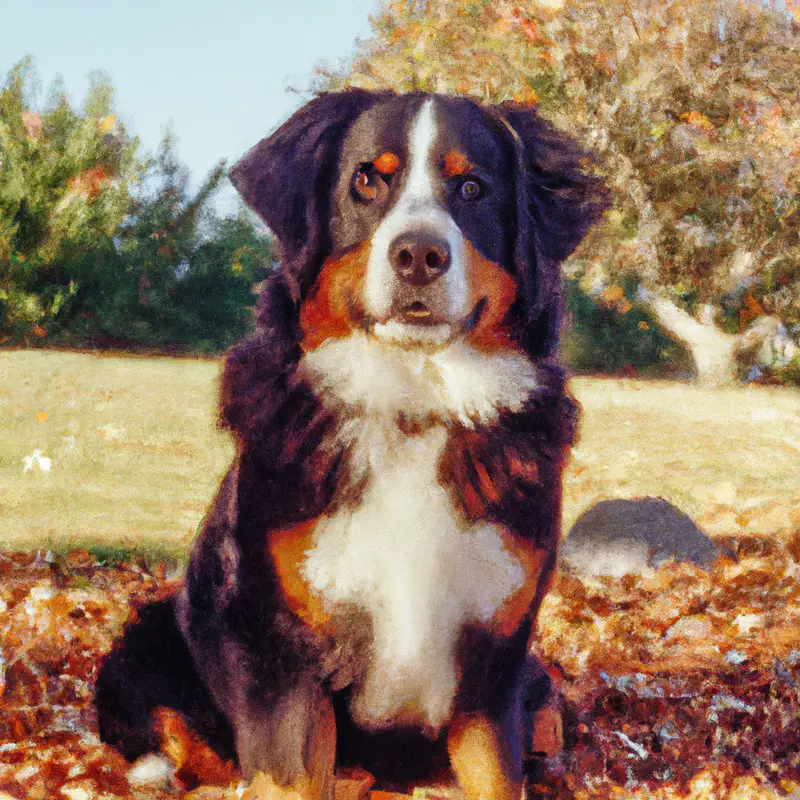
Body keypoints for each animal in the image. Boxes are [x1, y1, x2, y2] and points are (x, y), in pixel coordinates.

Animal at [95, 90, 608, 796]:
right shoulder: (281, 660)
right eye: (367, 179)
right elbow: (286, 774)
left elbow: (497, 775)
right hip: (148, 646)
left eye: (472, 187)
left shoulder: (494, 664)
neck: (411, 403)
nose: (418, 255)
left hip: (537, 681)